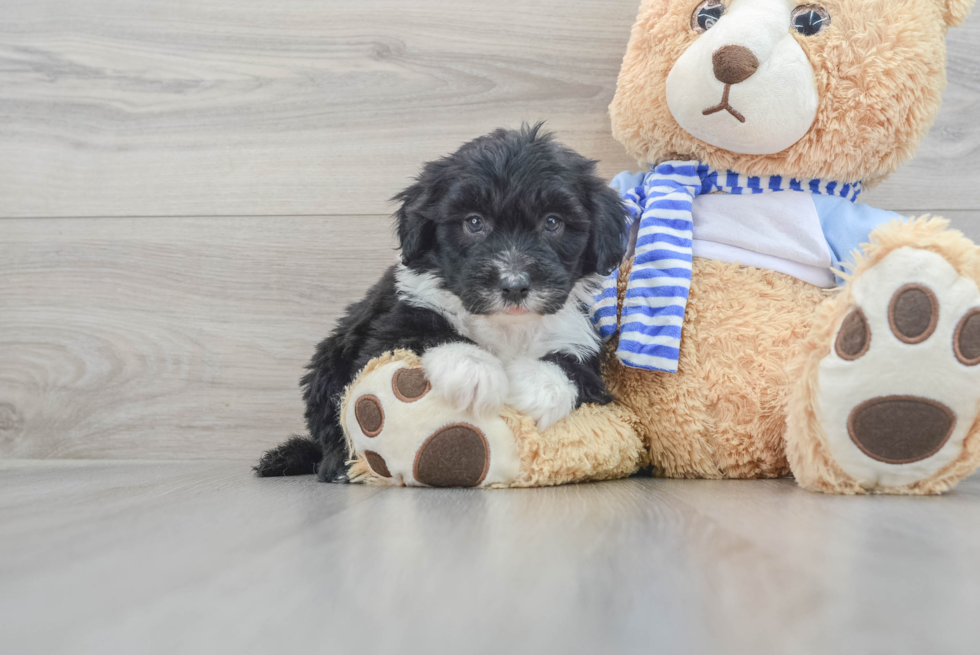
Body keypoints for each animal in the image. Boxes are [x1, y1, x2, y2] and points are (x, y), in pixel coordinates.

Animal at [256, 124, 624, 482]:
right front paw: (474, 369)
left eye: (552, 222)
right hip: (329, 365)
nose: (514, 285)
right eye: (474, 222)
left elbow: (573, 366)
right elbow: (426, 333)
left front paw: (536, 386)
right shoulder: (389, 327)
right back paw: (336, 466)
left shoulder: (580, 340)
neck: (505, 326)